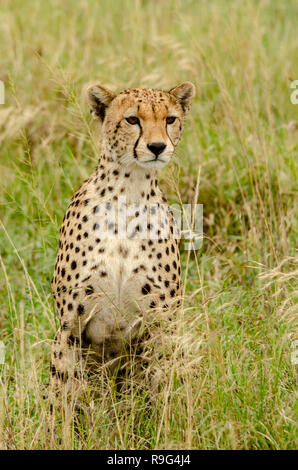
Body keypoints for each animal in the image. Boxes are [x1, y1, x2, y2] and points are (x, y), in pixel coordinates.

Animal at [50, 81, 196, 390]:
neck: (129, 192)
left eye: (170, 119)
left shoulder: (163, 321)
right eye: (132, 120)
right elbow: (63, 390)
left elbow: (165, 385)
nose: (157, 147)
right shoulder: (69, 325)